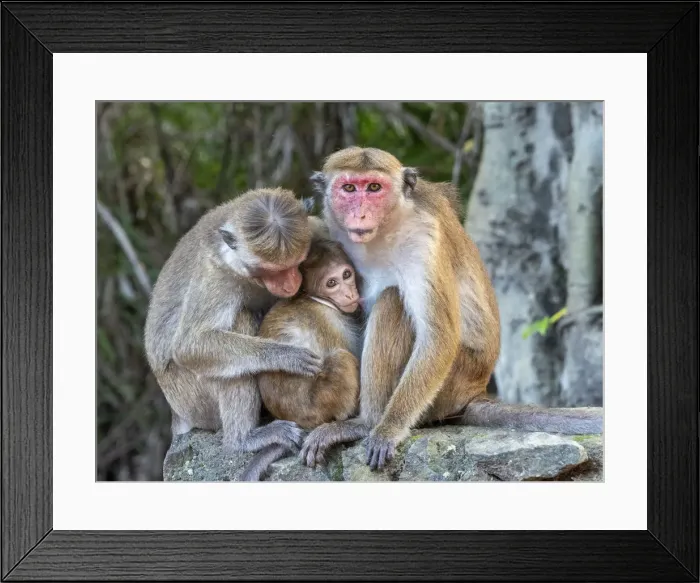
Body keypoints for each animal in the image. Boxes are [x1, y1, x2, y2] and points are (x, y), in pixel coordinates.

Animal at [144, 187, 326, 468]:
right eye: (270, 271)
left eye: (294, 264)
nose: (289, 284)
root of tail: (177, 413)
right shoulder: (217, 275)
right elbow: (189, 345)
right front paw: (286, 356)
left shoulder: (316, 229)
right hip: (191, 398)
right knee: (239, 324)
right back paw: (242, 439)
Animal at [239, 237, 362, 481]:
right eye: (331, 283)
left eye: (346, 275)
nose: (349, 294)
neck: (316, 298)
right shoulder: (331, 322)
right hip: (319, 405)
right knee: (341, 359)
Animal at [299, 146, 603, 471]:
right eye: (349, 188)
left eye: (373, 188)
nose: (360, 213)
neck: (385, 230)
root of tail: (475, 390)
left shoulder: (423, 240)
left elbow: (439, 335)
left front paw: (389, 428)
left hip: (449, 385)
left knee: (393, 300)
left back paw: (366, 423)